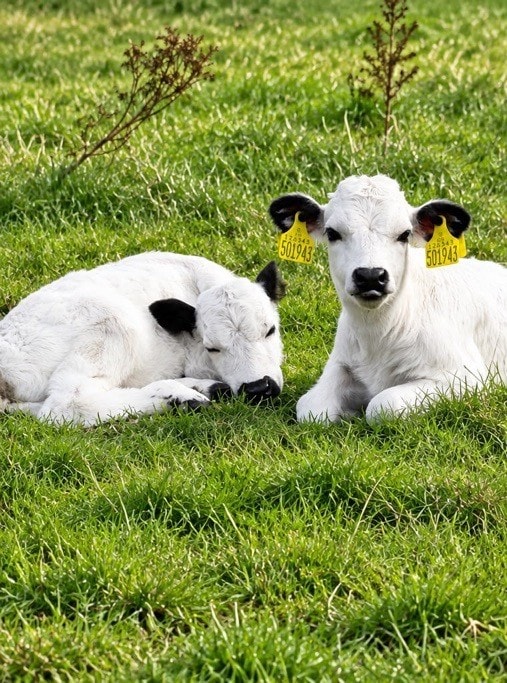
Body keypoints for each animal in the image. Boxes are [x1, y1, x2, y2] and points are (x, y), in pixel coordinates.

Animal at [0, 251, 285, 425]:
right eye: (212, 348)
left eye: (270, 330)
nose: (258, 388)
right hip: (114, 325)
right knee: (66, 404)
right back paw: (180, 397)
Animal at [269, 174, 507, 423]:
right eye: (333, 233)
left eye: (404, 234)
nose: (370, 276)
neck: (377, 336)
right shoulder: (340, 362)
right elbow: (311, 408)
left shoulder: (466, 377)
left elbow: (382, 405)